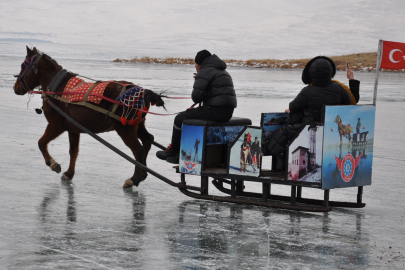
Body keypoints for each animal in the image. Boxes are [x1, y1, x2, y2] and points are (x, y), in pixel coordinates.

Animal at [13, 46, 164, 188]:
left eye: (23, 65)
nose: (15, 87)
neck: (57, 88)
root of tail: (144, 92)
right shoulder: (73, 128)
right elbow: (73, 151)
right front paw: (69, 173)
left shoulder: (56, 125)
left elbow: (41, 143)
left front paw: (53, 164)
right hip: (138, 124)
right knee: (148, 140)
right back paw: (143, 174)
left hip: (125, 128)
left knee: (138, 150)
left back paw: (134, 179)